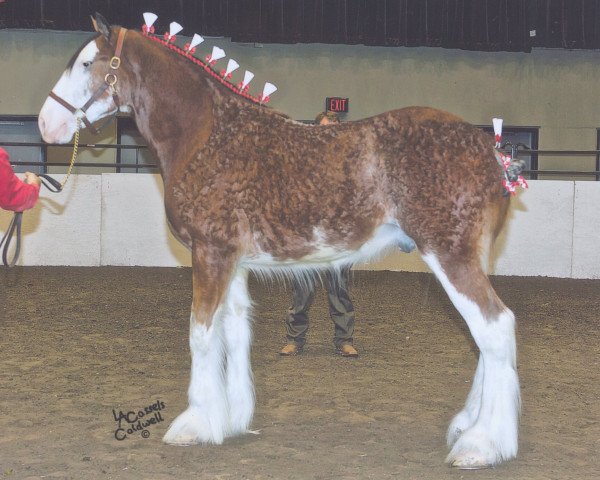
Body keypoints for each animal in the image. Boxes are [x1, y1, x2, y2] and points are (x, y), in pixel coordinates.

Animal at [37, 12, 524, 468]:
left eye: (87, 63)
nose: (46, 123)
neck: (206, 134)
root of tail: (491, 153)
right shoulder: (230, 261)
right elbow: (234, 331)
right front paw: (231, 419)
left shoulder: (209, 254)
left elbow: (201, 334)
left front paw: (194, 424)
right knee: (485, 337)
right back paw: (469, 428)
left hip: (450, 255)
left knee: (494, 327)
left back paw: (481, 445)